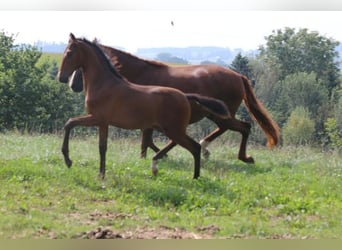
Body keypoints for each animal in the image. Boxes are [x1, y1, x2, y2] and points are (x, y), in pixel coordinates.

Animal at [58, 33, 230, 180]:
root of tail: (185, 96)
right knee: (190, 146)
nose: (62, 78)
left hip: (174, 130)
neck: (104, 84)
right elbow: (101, 146)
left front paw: (70, 161)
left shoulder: (98, 118)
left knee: (194, 147)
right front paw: (100, 173)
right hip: (171, 130)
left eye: (70, 53)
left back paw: (194, 177)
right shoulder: (102, 122)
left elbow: (71, 124)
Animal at [70, 43, 280, 163]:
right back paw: (205, 149)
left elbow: (146, 141)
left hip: (221, 115)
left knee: (243, 127)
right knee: (230, 128)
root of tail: (239, 76)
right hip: (215, 114)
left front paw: (150, 157)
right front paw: (156, 156)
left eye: (79, 64)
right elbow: (148, 140)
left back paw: (242, 157)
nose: (72, 85)